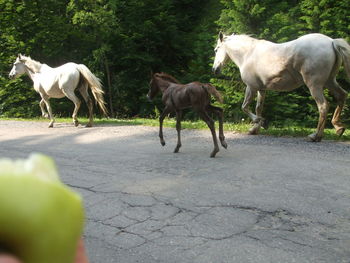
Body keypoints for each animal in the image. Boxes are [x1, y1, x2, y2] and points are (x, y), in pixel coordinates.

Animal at [212, 33, 348, 142]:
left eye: (216, 49)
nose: (215, 69)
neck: (248, 54)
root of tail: (331, 42)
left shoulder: (251, 87)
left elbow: (244, 107)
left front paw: (261, 122)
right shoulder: (261, 89)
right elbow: (258, 108)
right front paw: (255, 129)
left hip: (315, 85)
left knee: (323, 106)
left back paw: (315, 136)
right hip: (330, 81)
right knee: (342, 95)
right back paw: (339, 128)